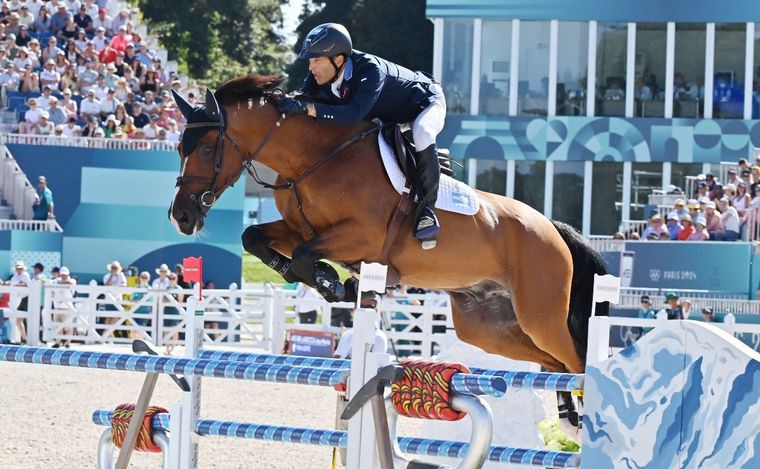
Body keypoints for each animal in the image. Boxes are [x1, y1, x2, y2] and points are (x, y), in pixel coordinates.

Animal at [168, 74, 608, 381]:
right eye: (178, 148)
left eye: (206, 148)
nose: (181, 217)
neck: (314, 158)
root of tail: (552, 228)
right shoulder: (299, 230)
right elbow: (255, 239)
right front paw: (326, 280)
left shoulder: (362, 237)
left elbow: (308, 257)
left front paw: (336, 285)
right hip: (488, 326)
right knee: (554, 363)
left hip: (540, 315)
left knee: (575, 359)